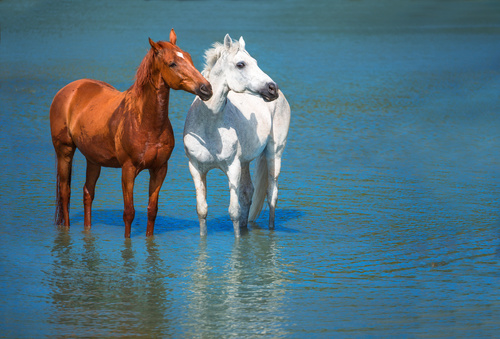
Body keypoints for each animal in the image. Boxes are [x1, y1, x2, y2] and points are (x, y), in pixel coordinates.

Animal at [50, 29, 213, 238]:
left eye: (189, 57)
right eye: (172, 63)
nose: (206, 88)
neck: (146, 123)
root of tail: (69, 90)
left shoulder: (159, 169)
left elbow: (152, 211)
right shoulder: (128, 170)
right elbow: (129, 213)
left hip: (93, 159)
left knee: (88, 193)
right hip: (65, 151)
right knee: (65, 192)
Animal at [184, 33, 292, 236]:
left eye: (255, 62)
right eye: (241, 64)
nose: (272, 88)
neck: (210, 125)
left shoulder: (232, 167)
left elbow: (233, 211)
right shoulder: (196, 168)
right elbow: (202, 211)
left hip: (274, 153)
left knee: (272, 195)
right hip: (245, 162)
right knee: (248, 193)